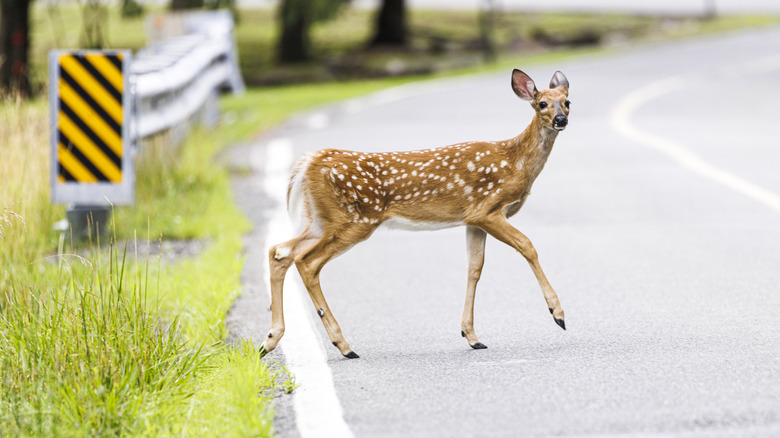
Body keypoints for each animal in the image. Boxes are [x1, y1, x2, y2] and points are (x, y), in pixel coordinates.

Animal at [261, 69, 570, 359]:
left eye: (567, 101)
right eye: (541, 103)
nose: (560, 120)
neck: (515, 162)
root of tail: (309, 162)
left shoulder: (472, 219)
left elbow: (474, 268)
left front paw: (471, 336)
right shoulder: (487, 209)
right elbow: (527, 245)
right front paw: (557, 313)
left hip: (321, 219)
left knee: (280, 251)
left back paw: (270, 340)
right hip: (356, 219)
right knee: (307, 261)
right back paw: (344, 345)